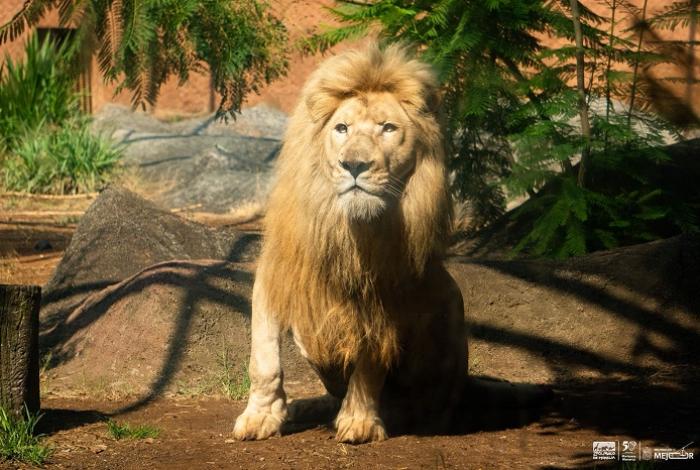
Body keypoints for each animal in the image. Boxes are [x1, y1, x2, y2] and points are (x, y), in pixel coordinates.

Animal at [233, 43, 542, 444]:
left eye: (388, 129)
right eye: (341, 128)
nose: (354, 165)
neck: (345, 226)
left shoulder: (384, 294)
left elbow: (368, 364)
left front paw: (360, 421)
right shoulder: (277, 272)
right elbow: (264, 359)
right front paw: (260, 416)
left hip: (448, 304)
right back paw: (309, 407)